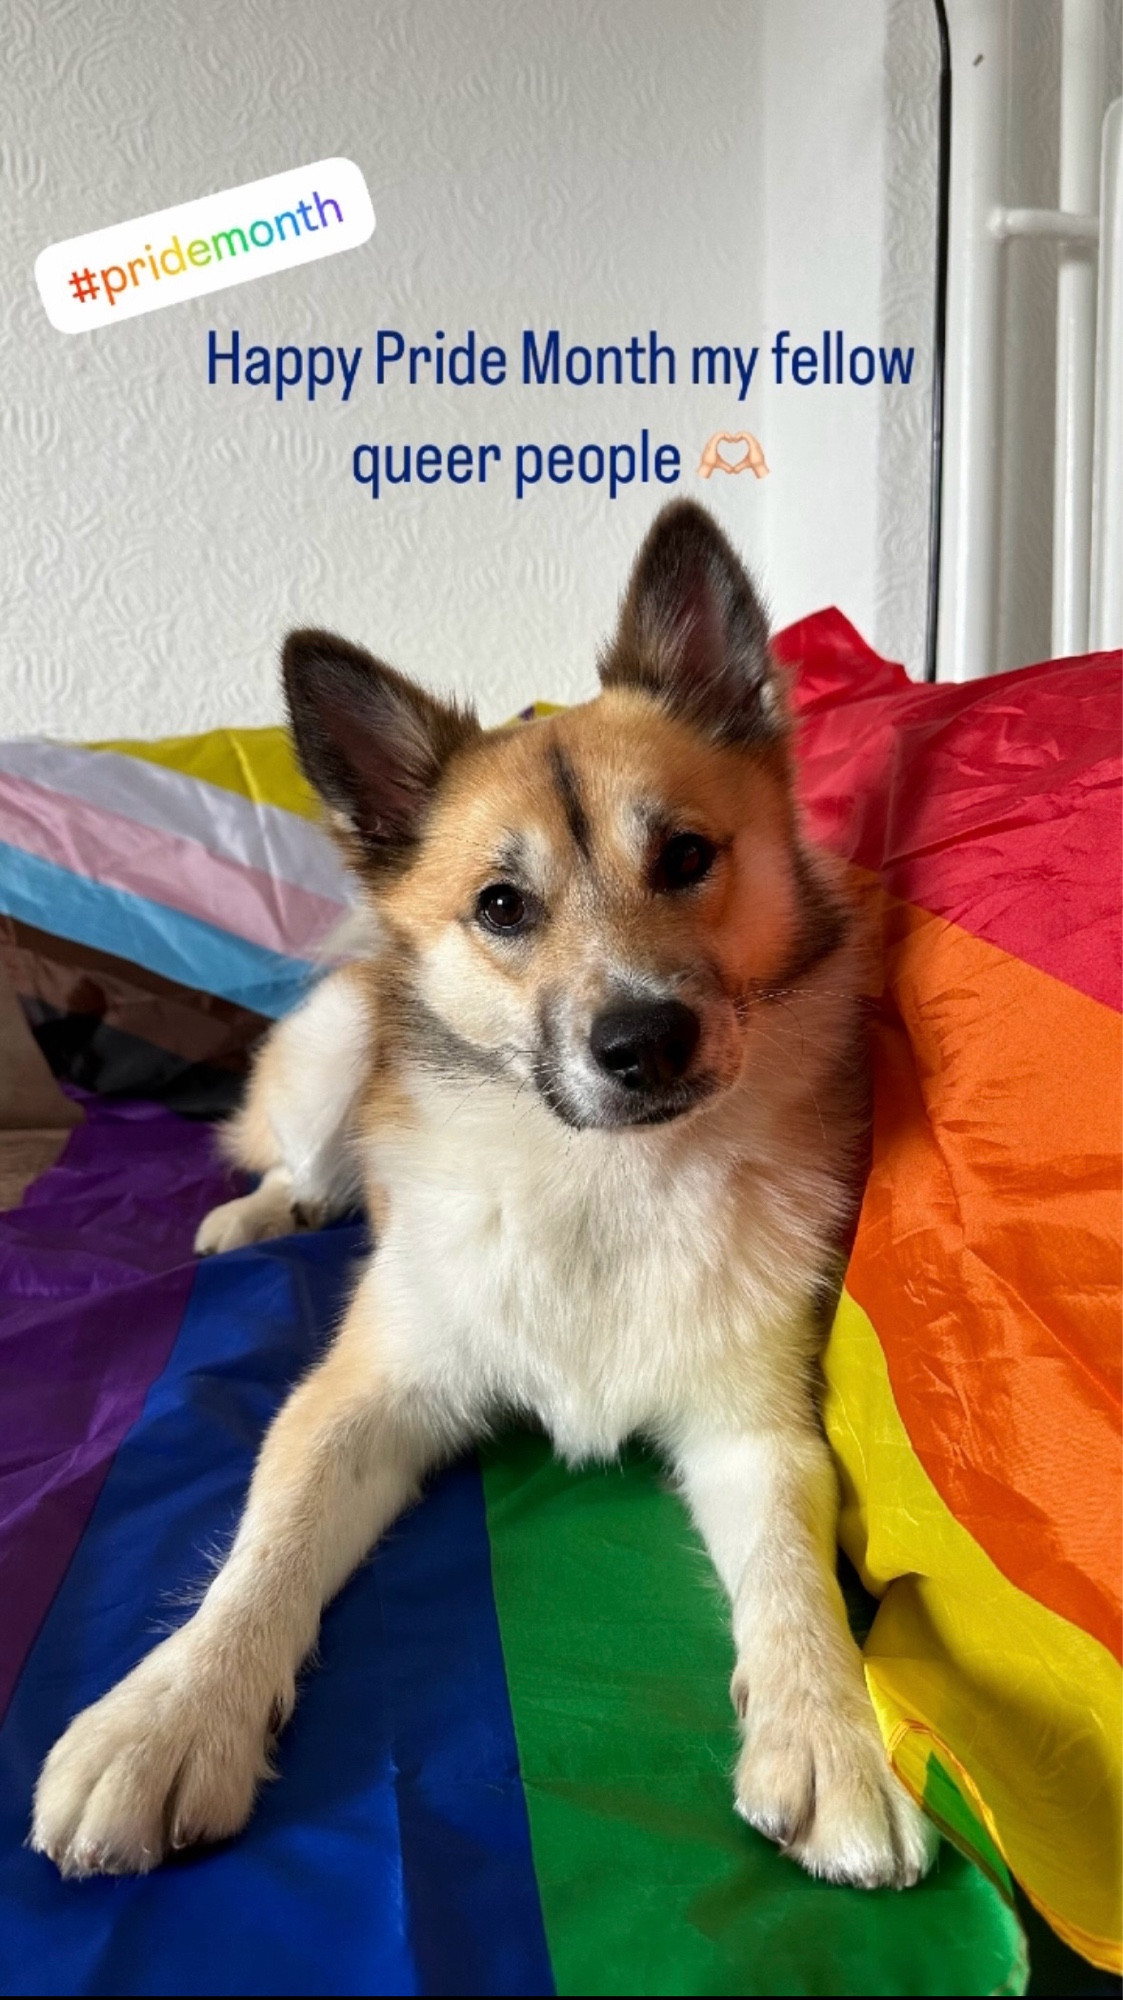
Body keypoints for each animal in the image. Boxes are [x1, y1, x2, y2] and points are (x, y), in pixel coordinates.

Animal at [30, 496, 931, 1888]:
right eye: (501, 905)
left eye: (686, 855)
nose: (642, 1041)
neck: (598, 1177)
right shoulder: (357, 1397)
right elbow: (264, 1547)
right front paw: (171, 1713)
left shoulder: (755, 1424)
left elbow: (792, 1569)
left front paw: (828, 1732)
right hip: (336, 1055)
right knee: (300, 1159)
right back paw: (259, 1211)